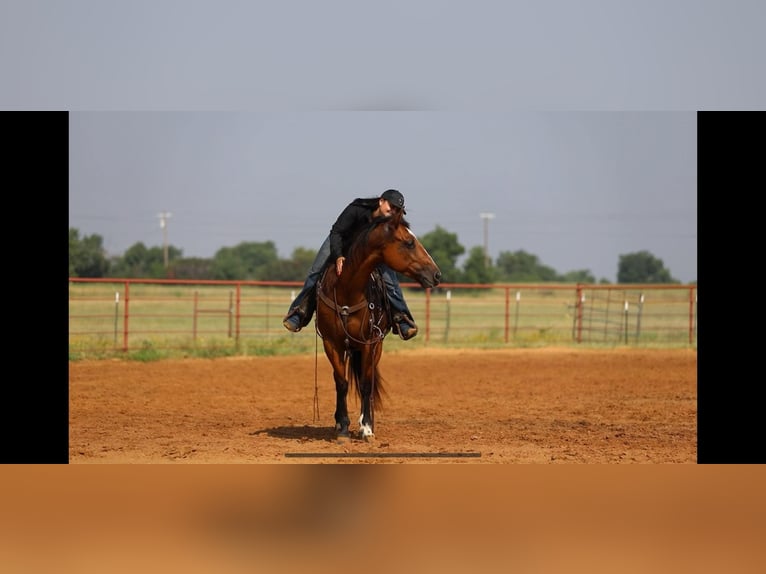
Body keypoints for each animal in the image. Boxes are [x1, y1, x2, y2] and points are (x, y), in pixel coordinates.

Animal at [315, 210, 442, 442]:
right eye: (409, 242)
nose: (436, 274)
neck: (347, 290)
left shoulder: (369, 343)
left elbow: (366, 384)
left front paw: (366, 428)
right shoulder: (332, 343)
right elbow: (342, 383)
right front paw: (343, 427)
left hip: (376, 347)